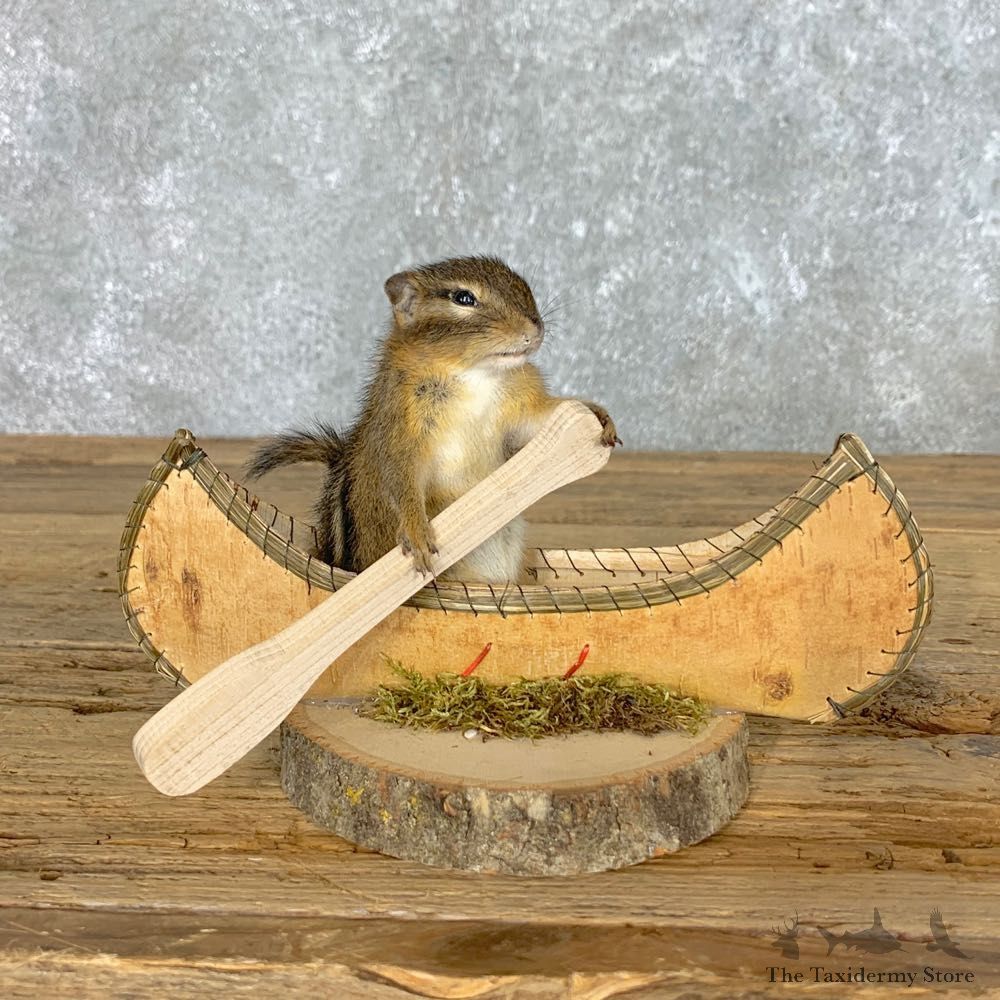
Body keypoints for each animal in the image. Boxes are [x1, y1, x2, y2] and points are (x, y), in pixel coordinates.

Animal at [245, 256, 619, 583]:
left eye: (523, 285)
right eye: (463, 298)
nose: (535, 330)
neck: (475, 375)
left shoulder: (520, 412)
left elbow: (541, 425)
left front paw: (597, 412)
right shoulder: (401, 428)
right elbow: (402, 478)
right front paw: (416, 529)